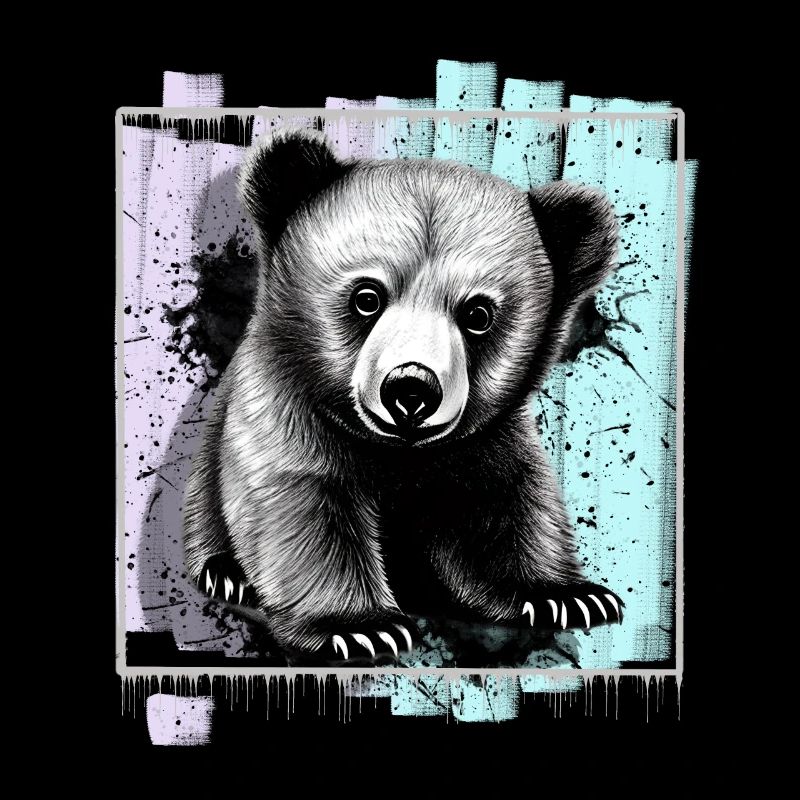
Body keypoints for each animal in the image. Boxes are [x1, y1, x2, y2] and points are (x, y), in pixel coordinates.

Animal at [182, 128, 623, 664]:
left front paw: (567, 595)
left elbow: (503, 503)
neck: (401, 453)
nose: (411, 389)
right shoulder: (288, 406)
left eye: (478, 314)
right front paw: (359, 628)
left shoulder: (484, 441)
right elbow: (304, 503)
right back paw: (226, 574)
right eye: (367, 297)